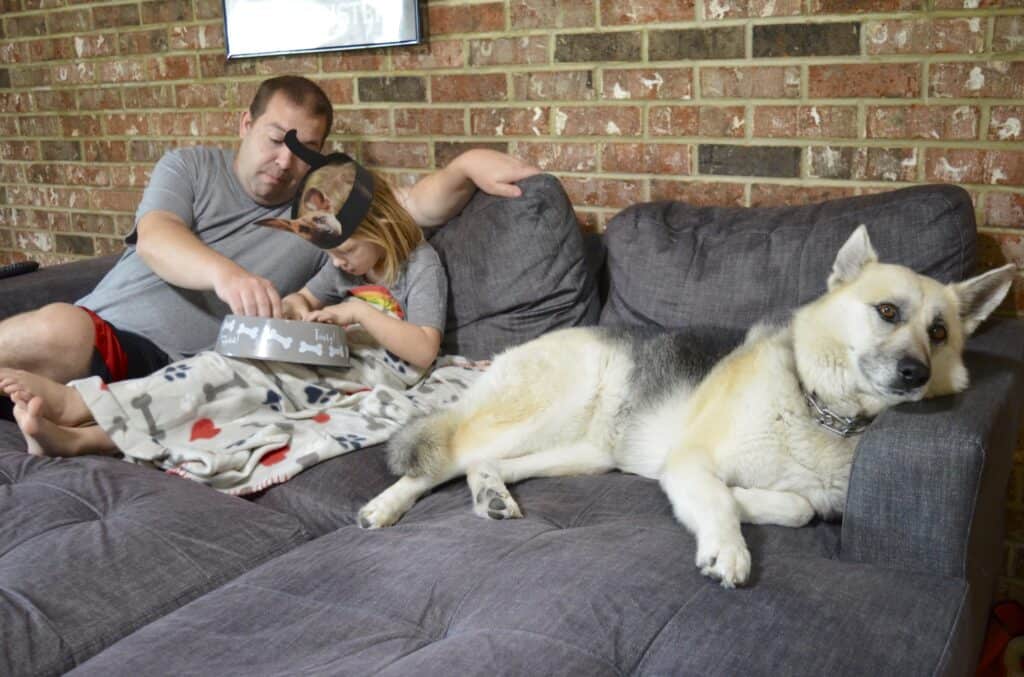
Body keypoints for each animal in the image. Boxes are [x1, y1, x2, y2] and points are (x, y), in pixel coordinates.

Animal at [356, 227, 1011, 585]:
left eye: (940, 333)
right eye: (888, 312)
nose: (914, 373)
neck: (820, 409)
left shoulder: (798, 494)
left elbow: (797, 508)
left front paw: (751, 503)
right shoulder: (691, 463)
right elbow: (719, 502)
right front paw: (728, 544)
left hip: (584, 454)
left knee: (481, 465)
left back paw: (490, 493)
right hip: (537, 412)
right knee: (441, 455)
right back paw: (385, 506)